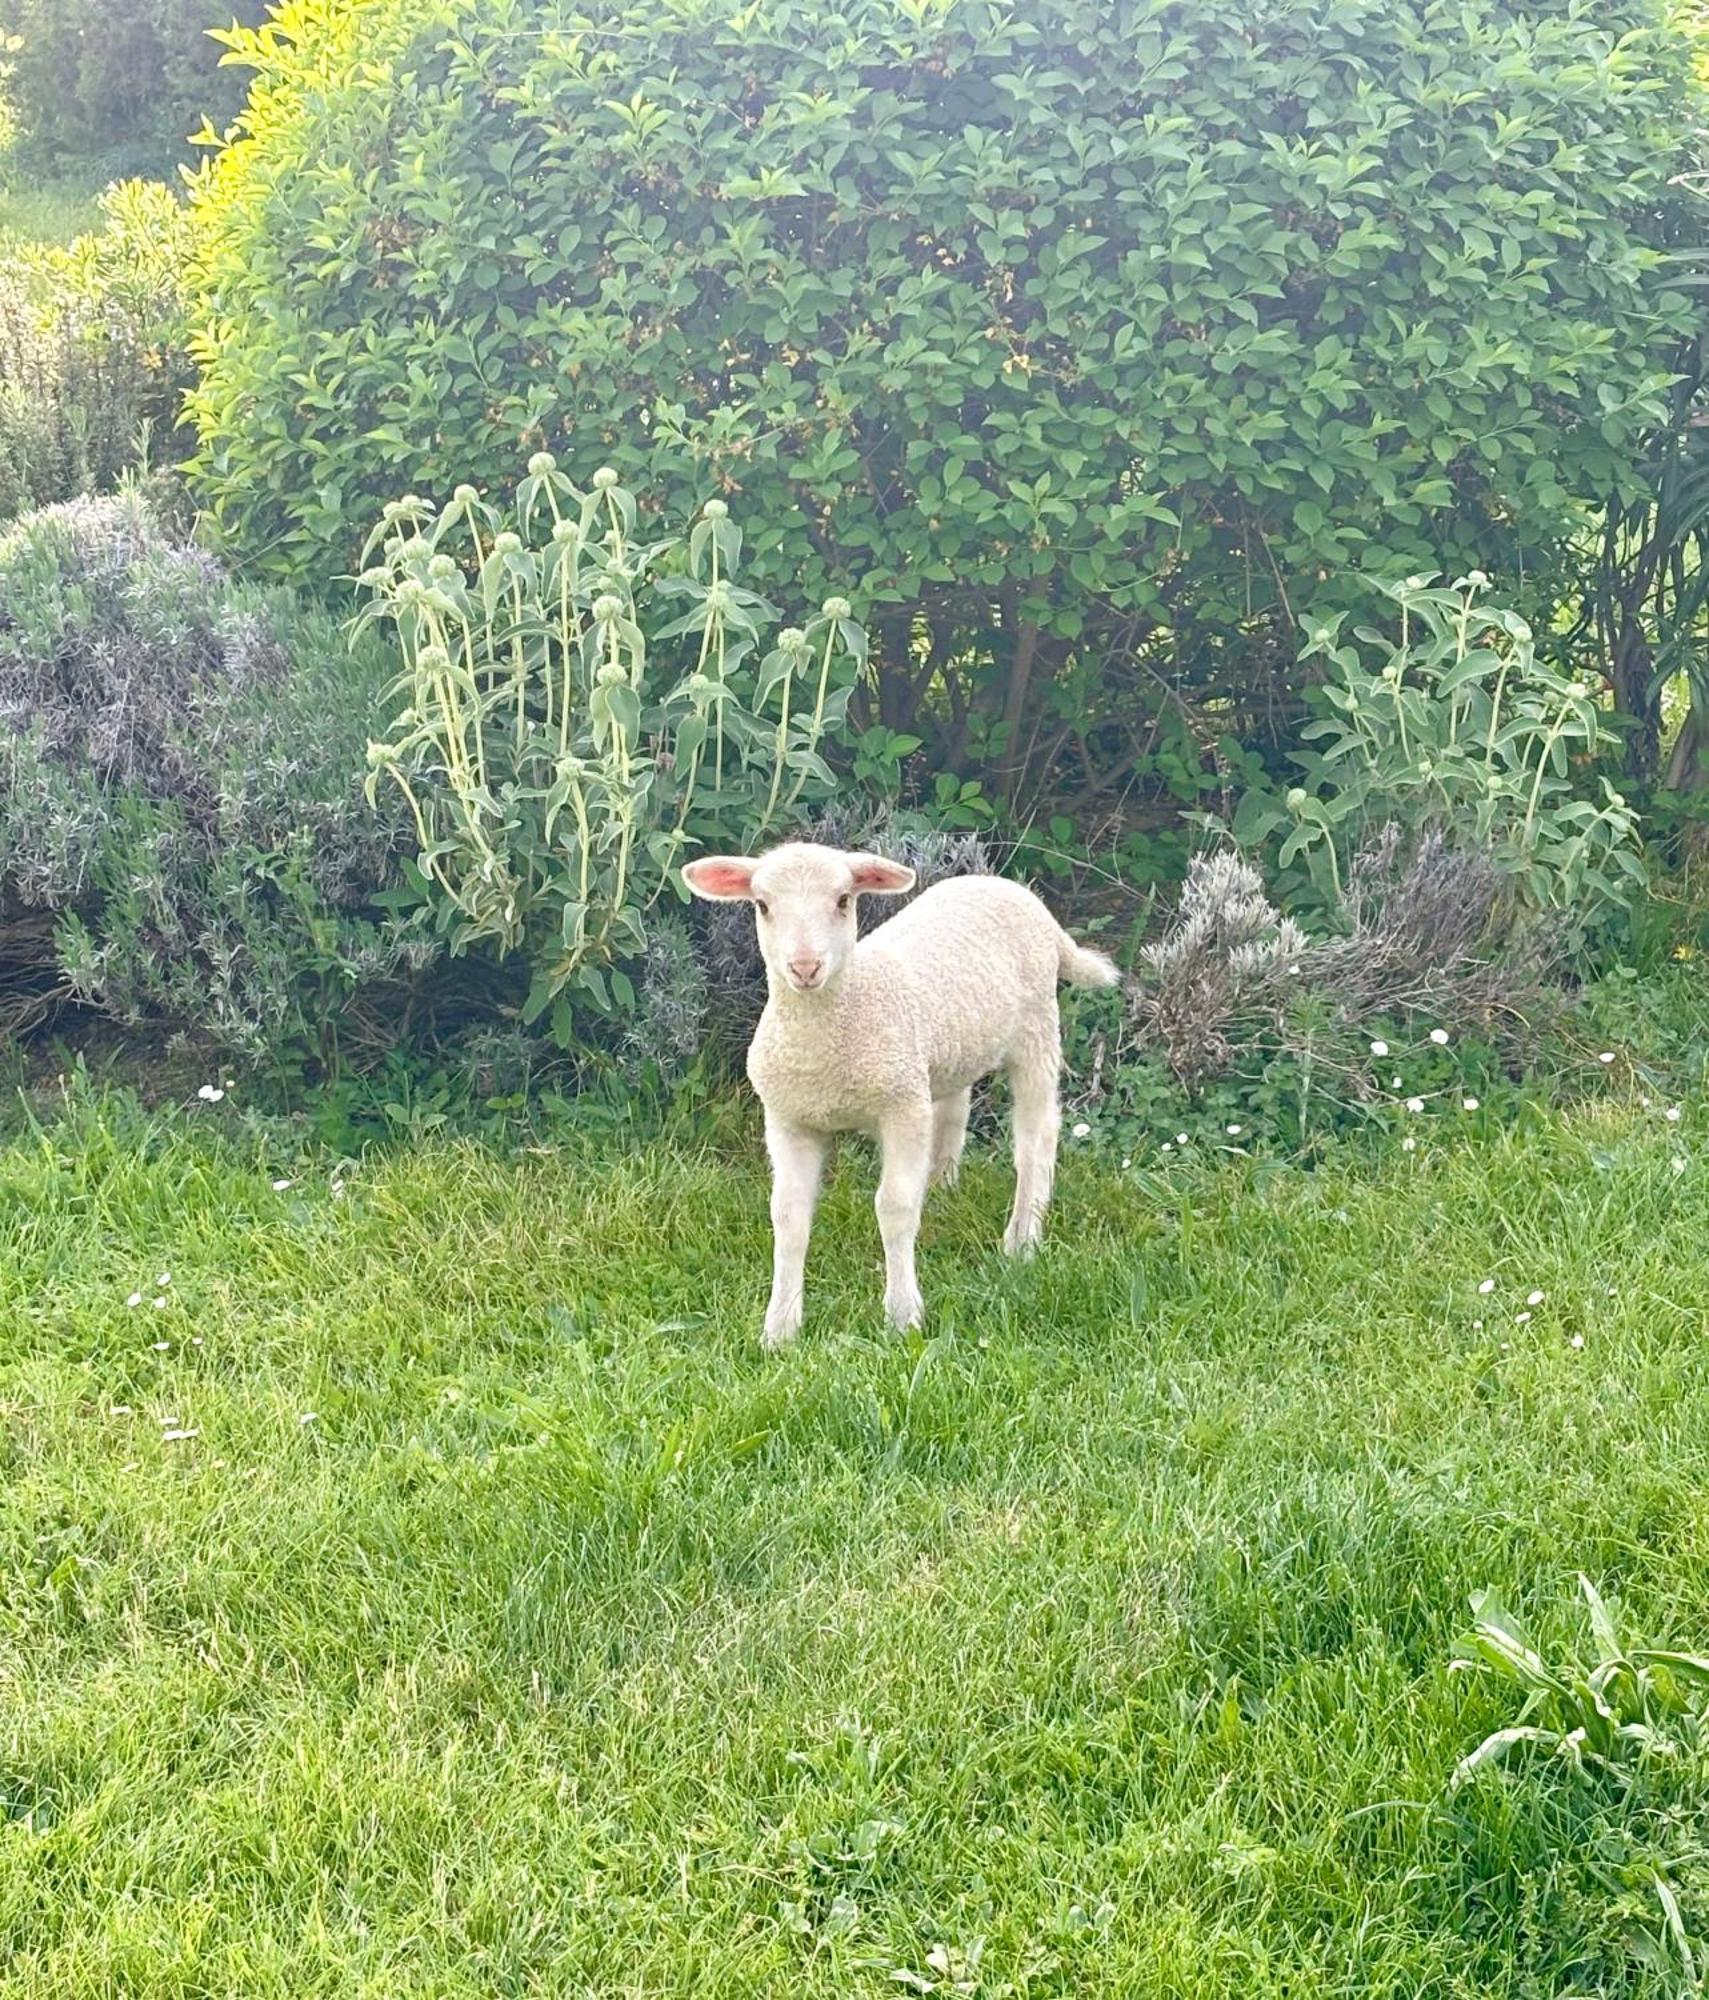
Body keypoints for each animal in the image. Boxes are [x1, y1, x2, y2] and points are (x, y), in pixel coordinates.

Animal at [684, 840, 1120, 1344]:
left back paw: (1022, 1239)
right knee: (954, 1112)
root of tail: (1015, 892)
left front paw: (902, 1316)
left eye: (843, 900)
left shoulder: (901, 1108)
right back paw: (942, 1188)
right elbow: (788, 1216)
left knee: (1037, 1136)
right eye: (762, 904)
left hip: (1036, 1028)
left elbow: (894, 1206)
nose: (805, 967)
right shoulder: (789, 1119)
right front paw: (779, 1329)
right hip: (945, 1054)